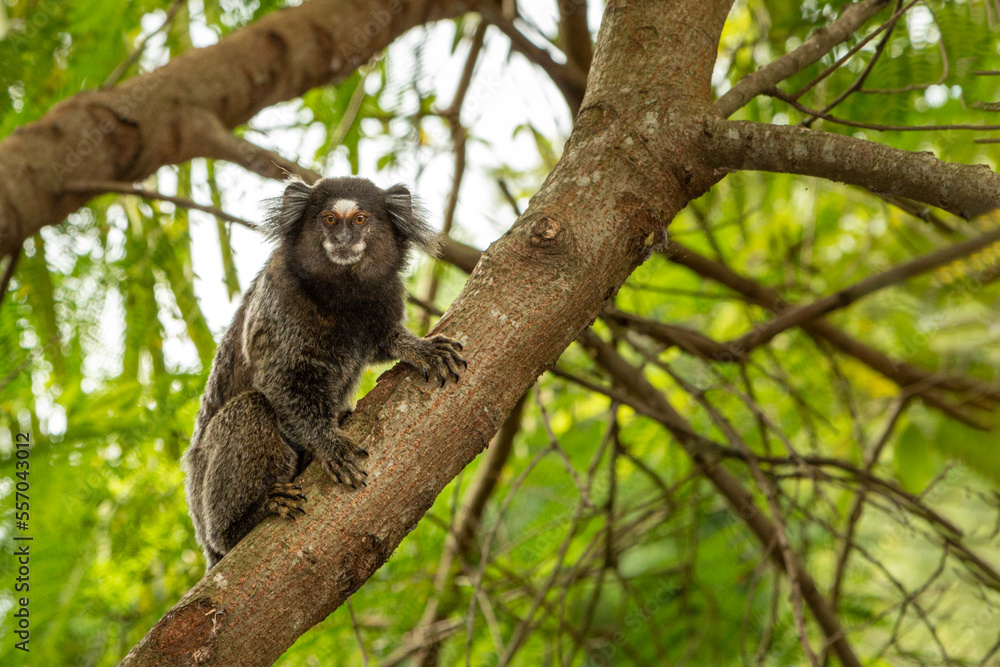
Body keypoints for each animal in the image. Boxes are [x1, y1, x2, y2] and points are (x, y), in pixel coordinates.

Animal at [183, 177, 466, 569]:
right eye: (329, 219)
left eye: (360, 219)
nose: (343, 238)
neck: (340, 292)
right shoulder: (279, 298)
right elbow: (281, 379)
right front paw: (329, 443)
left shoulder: (387, 293)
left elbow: (386, 341)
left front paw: (420, 348)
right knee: (249, 409)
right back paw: (249, 516)